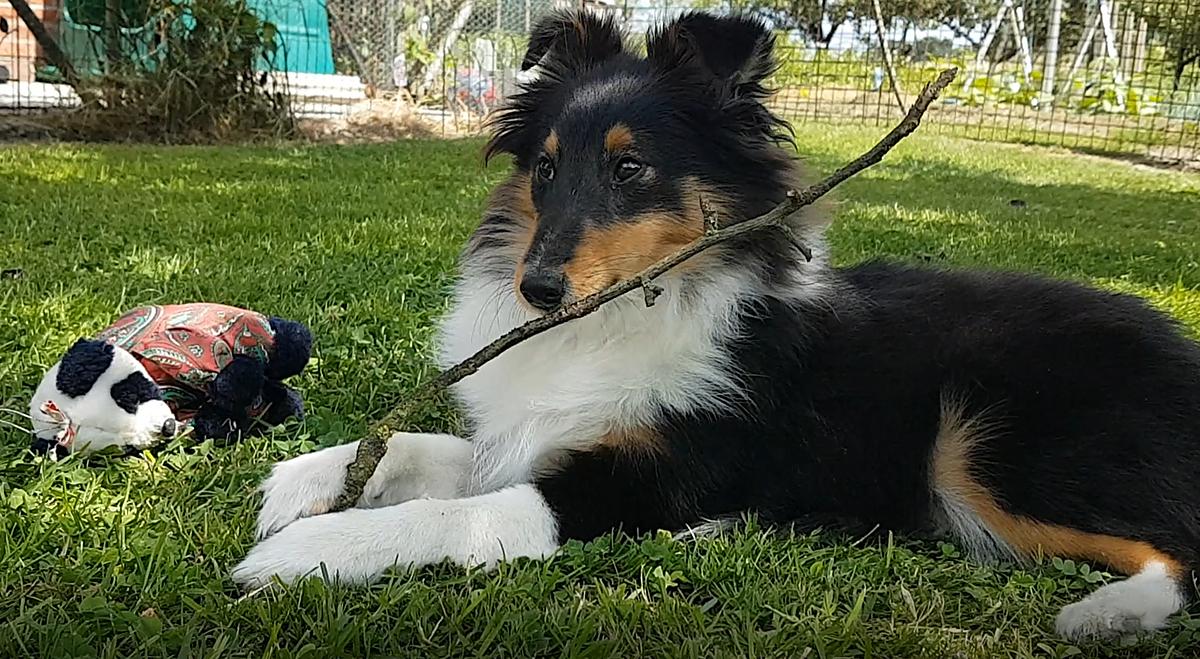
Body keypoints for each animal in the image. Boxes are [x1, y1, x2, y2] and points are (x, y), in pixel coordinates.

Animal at [234, 9, 1200, 638]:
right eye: (544, 168)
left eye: (630, 169)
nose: (536, 290)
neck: (626, 314)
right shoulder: (539, 431)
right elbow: (421, 445)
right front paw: (300, 481)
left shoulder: (643, 483)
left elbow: (451, 516)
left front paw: (308, 551)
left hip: (990, 447)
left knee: (1179, 552)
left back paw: (1108, 612)